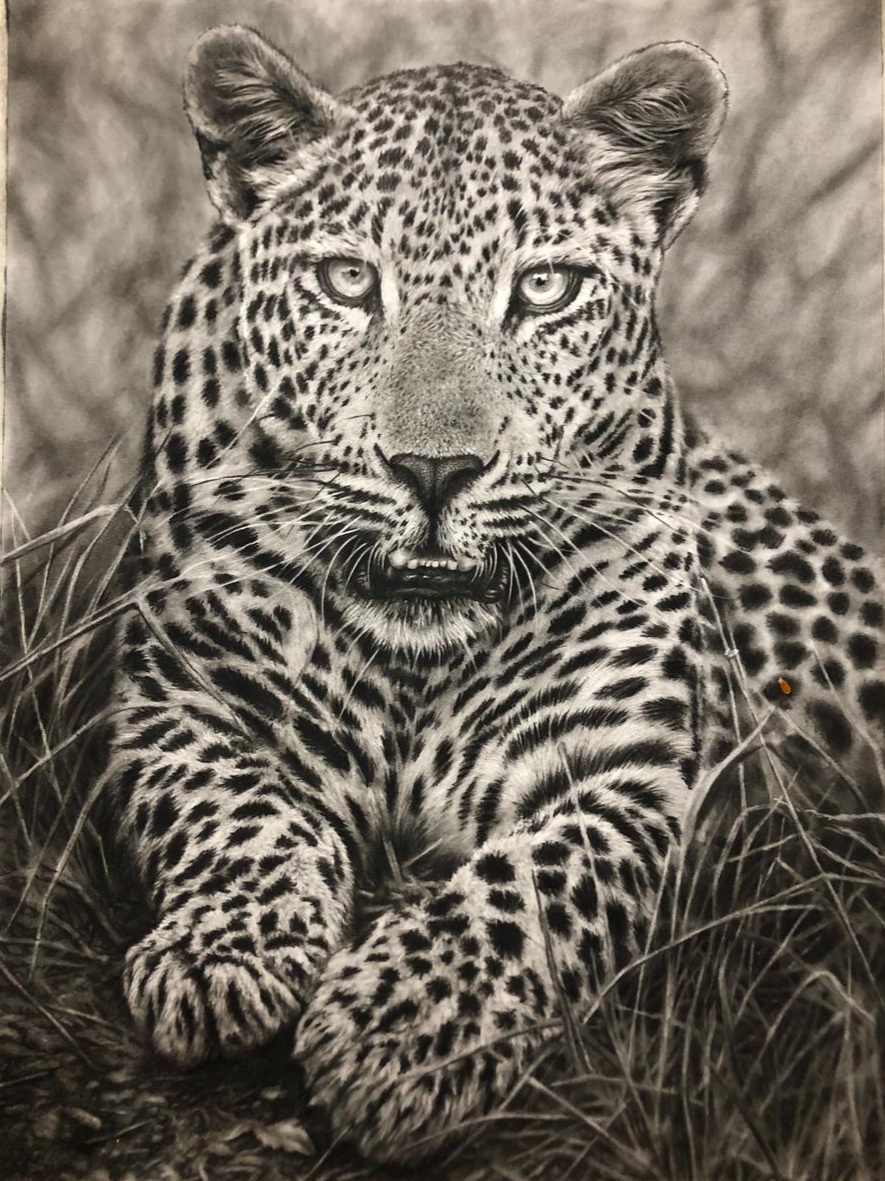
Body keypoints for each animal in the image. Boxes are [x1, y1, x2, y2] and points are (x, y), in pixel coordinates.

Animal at [110, 24, 885, 1164]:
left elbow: (530, 885)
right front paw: (221, 954)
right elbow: (234, 811)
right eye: (347, 280)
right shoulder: (177, 700)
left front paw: (403, 1031)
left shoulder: (620, 776)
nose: (434, 471)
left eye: (546, 289)